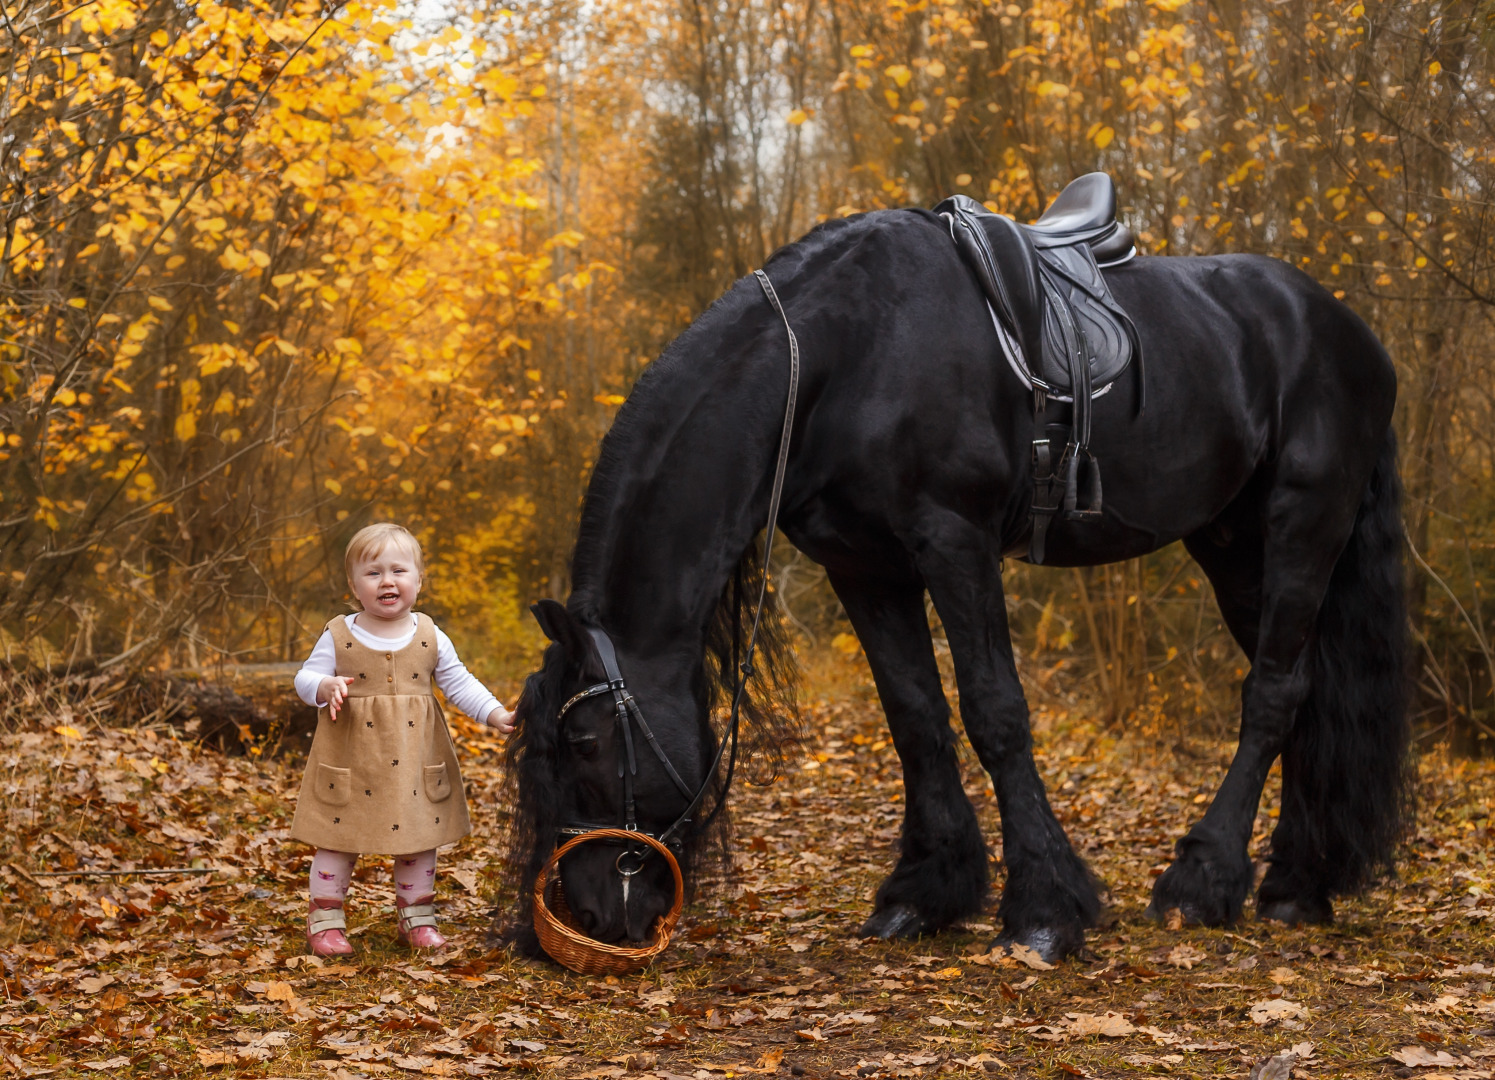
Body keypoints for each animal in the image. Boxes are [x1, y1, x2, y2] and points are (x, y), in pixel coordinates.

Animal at [505, 197, 1411, 957]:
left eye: (584, 742)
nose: (589, 914)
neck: (844, 355)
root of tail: (1348, 330)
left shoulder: (955, 543)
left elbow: (994, 714)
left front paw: (1042, 910)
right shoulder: (862, 565)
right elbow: (914, 716)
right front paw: (924, 892)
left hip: (1304, 520)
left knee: (1272, 694)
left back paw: (1206, 881)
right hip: (1230, 543)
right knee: (1304, 688)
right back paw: (1297, 883)